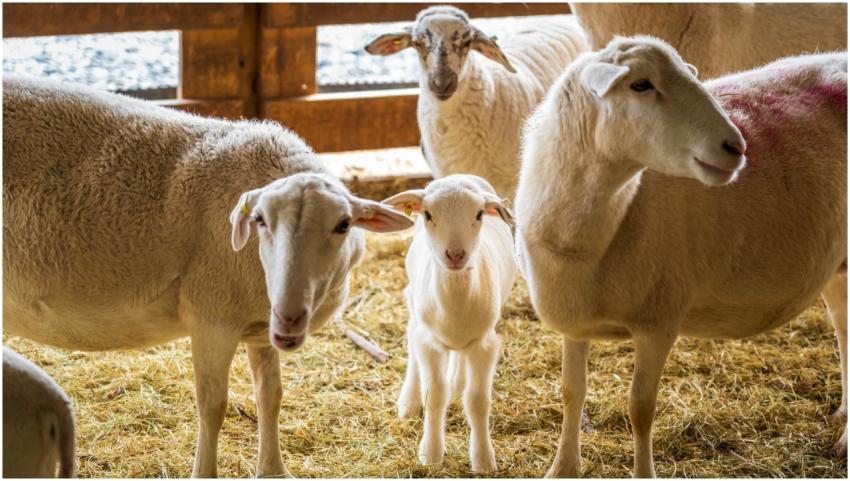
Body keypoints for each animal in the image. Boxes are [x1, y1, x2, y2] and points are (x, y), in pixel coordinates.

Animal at [382, 174, 518, 472]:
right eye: (428, 215)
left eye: (478, 214)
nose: (455, 254)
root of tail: (460, 175)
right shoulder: (429, 343)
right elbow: (435, 396)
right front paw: (431, 455)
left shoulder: (485, 344)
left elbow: (477, 400)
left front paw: (483, 460)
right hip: (413, 302)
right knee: (411, 342)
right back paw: (409, 401)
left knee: (459, 359)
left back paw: (458, 378)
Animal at [513, 37, 847, 478]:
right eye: (640, 85)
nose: (736, 147)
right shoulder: (575, 317)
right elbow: (572, 392)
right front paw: (563, 467)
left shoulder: (658, 319)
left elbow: (640, 409)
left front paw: (643, 472)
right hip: (837, 267)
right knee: (844, 329)